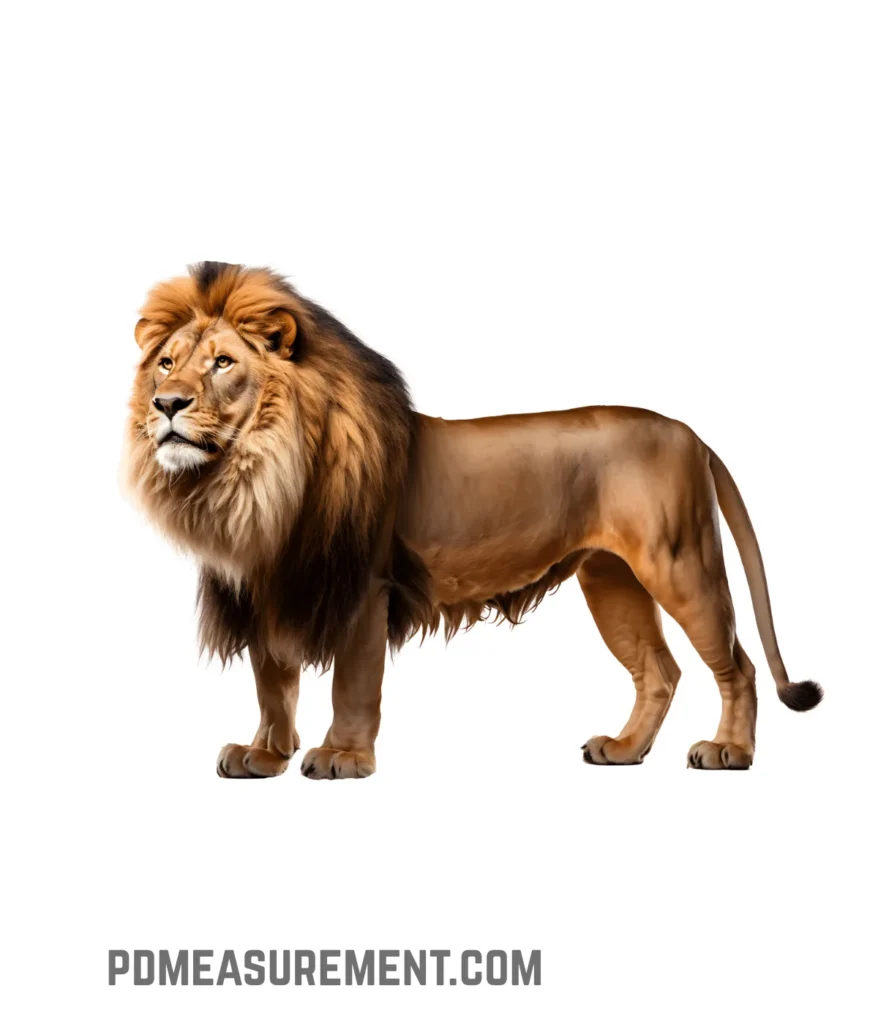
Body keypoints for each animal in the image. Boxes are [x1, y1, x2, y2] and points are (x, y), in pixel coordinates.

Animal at [124, 262, 822, 778]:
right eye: (166, 362)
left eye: (223, 363)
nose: (166, 404)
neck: (255, 478)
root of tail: (690, 432)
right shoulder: (265, 583)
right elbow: (271, 681)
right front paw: (265, 755)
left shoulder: (365, 586)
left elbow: (352, 683)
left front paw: (342, 755)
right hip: (611, 580)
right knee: (659, 671)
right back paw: (624, 750)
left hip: (680, 562)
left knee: (737, 665)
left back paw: (731, 751)